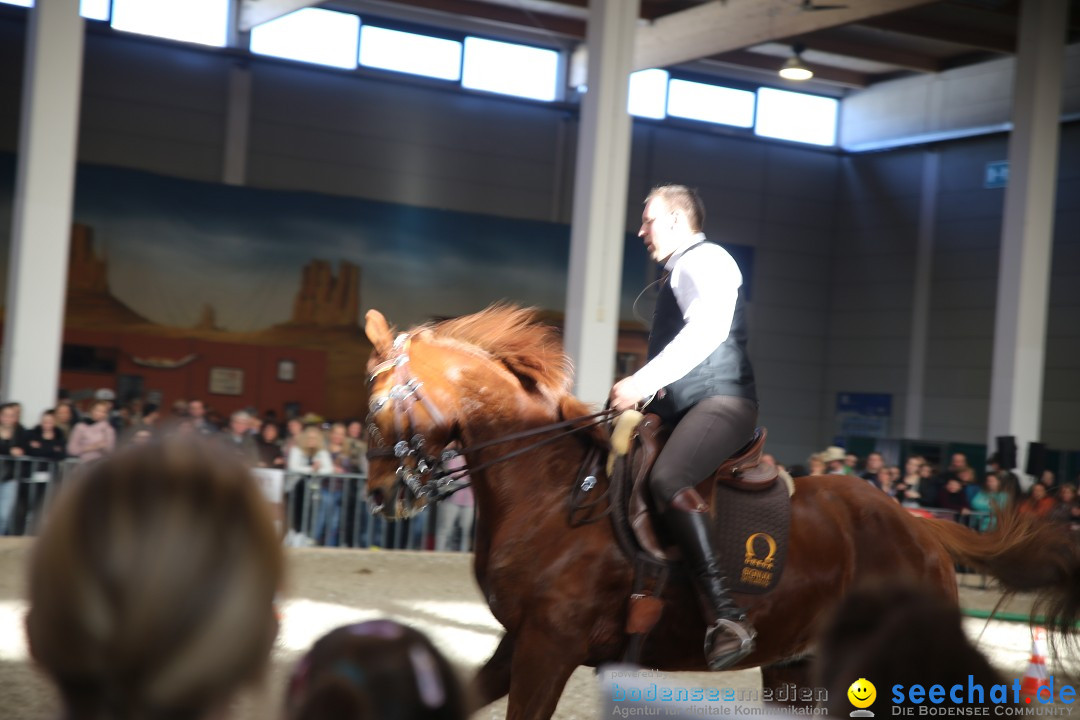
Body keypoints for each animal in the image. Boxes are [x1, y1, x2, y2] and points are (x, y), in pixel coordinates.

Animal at [362, 304, 1080, 720]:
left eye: (376, 405)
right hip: (798, 668)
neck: (549, 487)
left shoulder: (549, 646)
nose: (378, 495)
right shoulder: (519, 642)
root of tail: (920, 529)